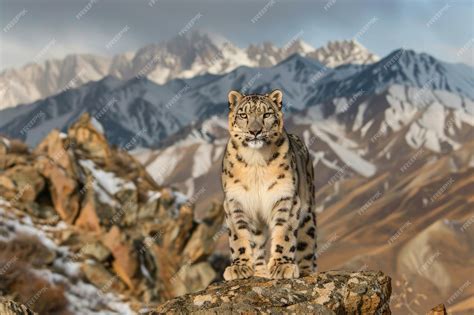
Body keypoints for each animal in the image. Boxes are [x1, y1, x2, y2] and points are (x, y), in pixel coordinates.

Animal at [220, 90, 316, 280]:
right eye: (243, 115)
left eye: (266, 114)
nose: (255, 131)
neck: (256, 161)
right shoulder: (235, 200)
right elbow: (238, 235)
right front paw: (239, 267)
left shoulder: (285, 197)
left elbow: (284, 233)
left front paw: (282, 266)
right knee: (257, 243)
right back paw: (260, 272)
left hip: (307, 213)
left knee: (307, 244)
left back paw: (306, 271)